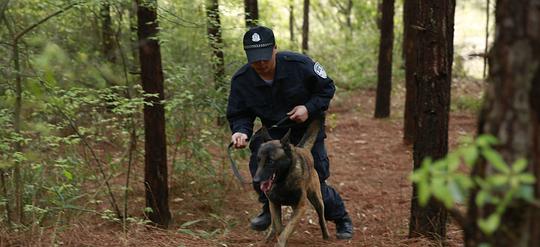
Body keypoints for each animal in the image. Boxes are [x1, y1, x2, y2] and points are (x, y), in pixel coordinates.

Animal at [253, 118, 330, 247]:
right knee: (274, 225)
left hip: (317, 200)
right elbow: (280, 228)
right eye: (258, 160)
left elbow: (288, 228)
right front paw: (279, 238)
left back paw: (326, 236)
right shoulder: (274, 204)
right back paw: (268, 237)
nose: (256, 180)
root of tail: (303, 149)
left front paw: (281, 242)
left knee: (321, 217)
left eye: (270, 161)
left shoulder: (301, 206)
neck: (282, 181)